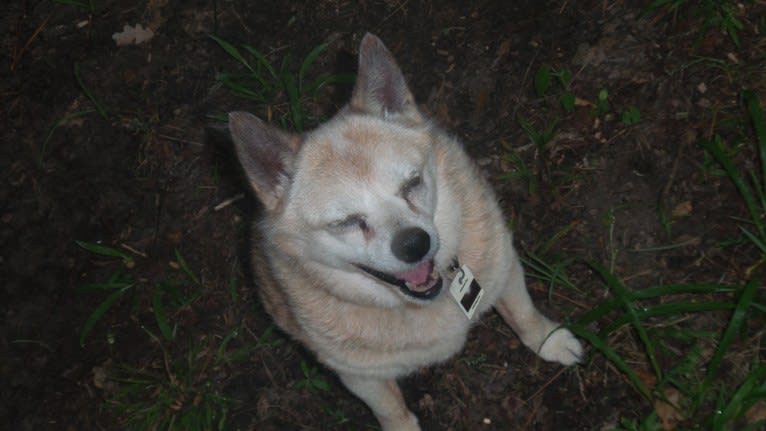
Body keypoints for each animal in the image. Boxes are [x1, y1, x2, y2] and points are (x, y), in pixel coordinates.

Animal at [228, 31, 584, 431]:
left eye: (411, 184)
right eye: (346, 222)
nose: (415, 244)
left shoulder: (505, 269)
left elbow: (524, 315)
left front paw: (549, 341)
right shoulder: (360, 377)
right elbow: (390, 409)